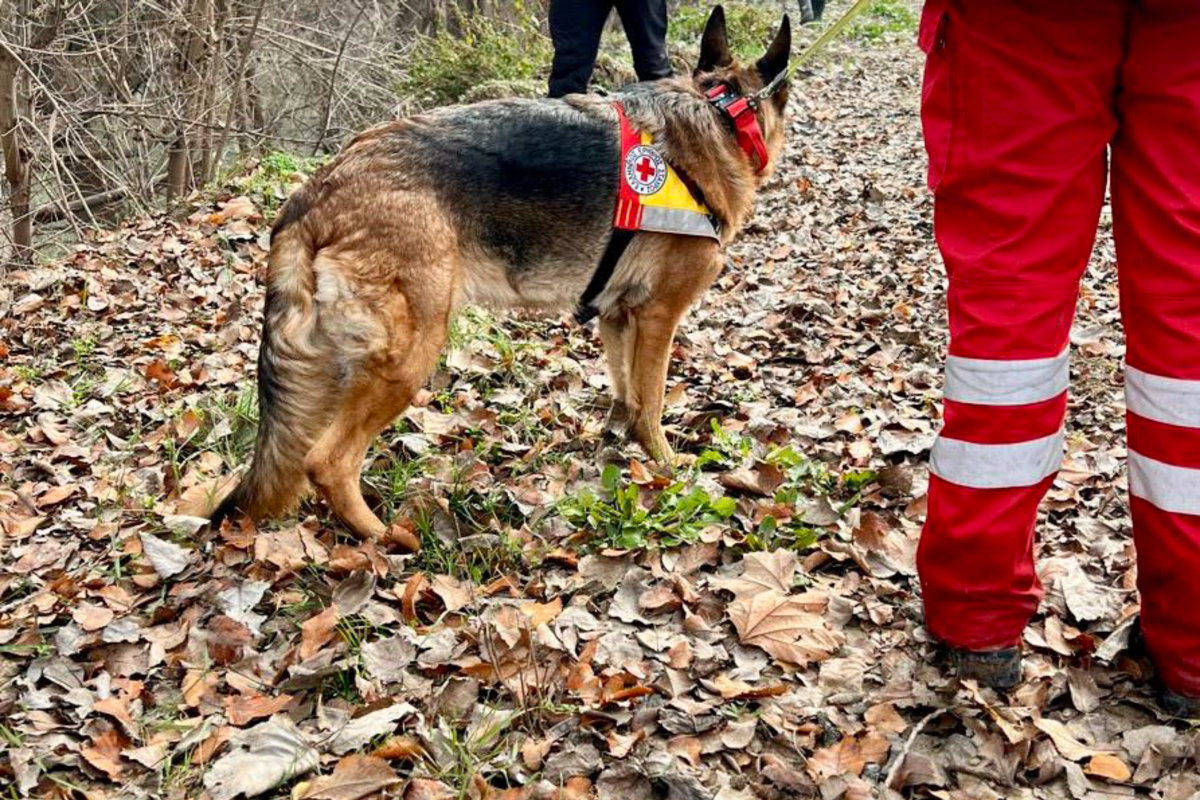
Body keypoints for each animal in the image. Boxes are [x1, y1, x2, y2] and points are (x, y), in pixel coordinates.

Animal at [213, 6, 796, 542]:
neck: (721, 111)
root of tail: (318, 188)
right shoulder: (658, 317)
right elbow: (651, 403)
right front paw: (668, 470)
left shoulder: (616, 317)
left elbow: (625, 394)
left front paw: (619, 447)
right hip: (409, 356)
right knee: (327, 461)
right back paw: (385, 537)